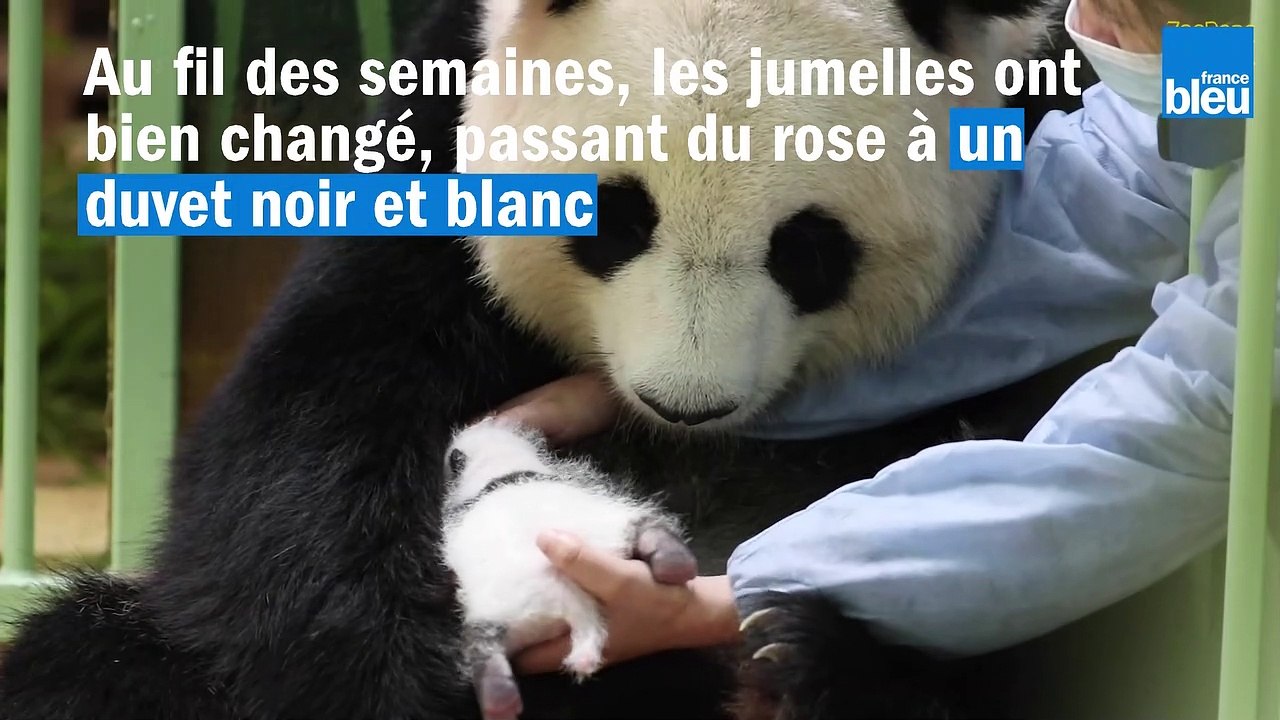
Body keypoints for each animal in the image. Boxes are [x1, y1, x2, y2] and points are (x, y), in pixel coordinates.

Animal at [0, 0, 1101, 719]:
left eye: (808, 248)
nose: (683, 403)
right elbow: (306, 421)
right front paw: (399, 676)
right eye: (610, 217)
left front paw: (825, 646)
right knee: (91, 664)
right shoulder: (439, 146)